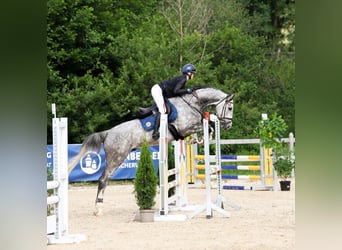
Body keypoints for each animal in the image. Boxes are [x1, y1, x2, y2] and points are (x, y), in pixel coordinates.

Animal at [68, 86, 234, 215]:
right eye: (230, 107)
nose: (228, 126)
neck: (192, 103)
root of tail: (108, 132)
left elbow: (207, 123)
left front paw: (197, 139)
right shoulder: (186, 127)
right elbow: (208, 125)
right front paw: (201, 138)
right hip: (117, 157)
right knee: (103, 179)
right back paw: (98, 209)